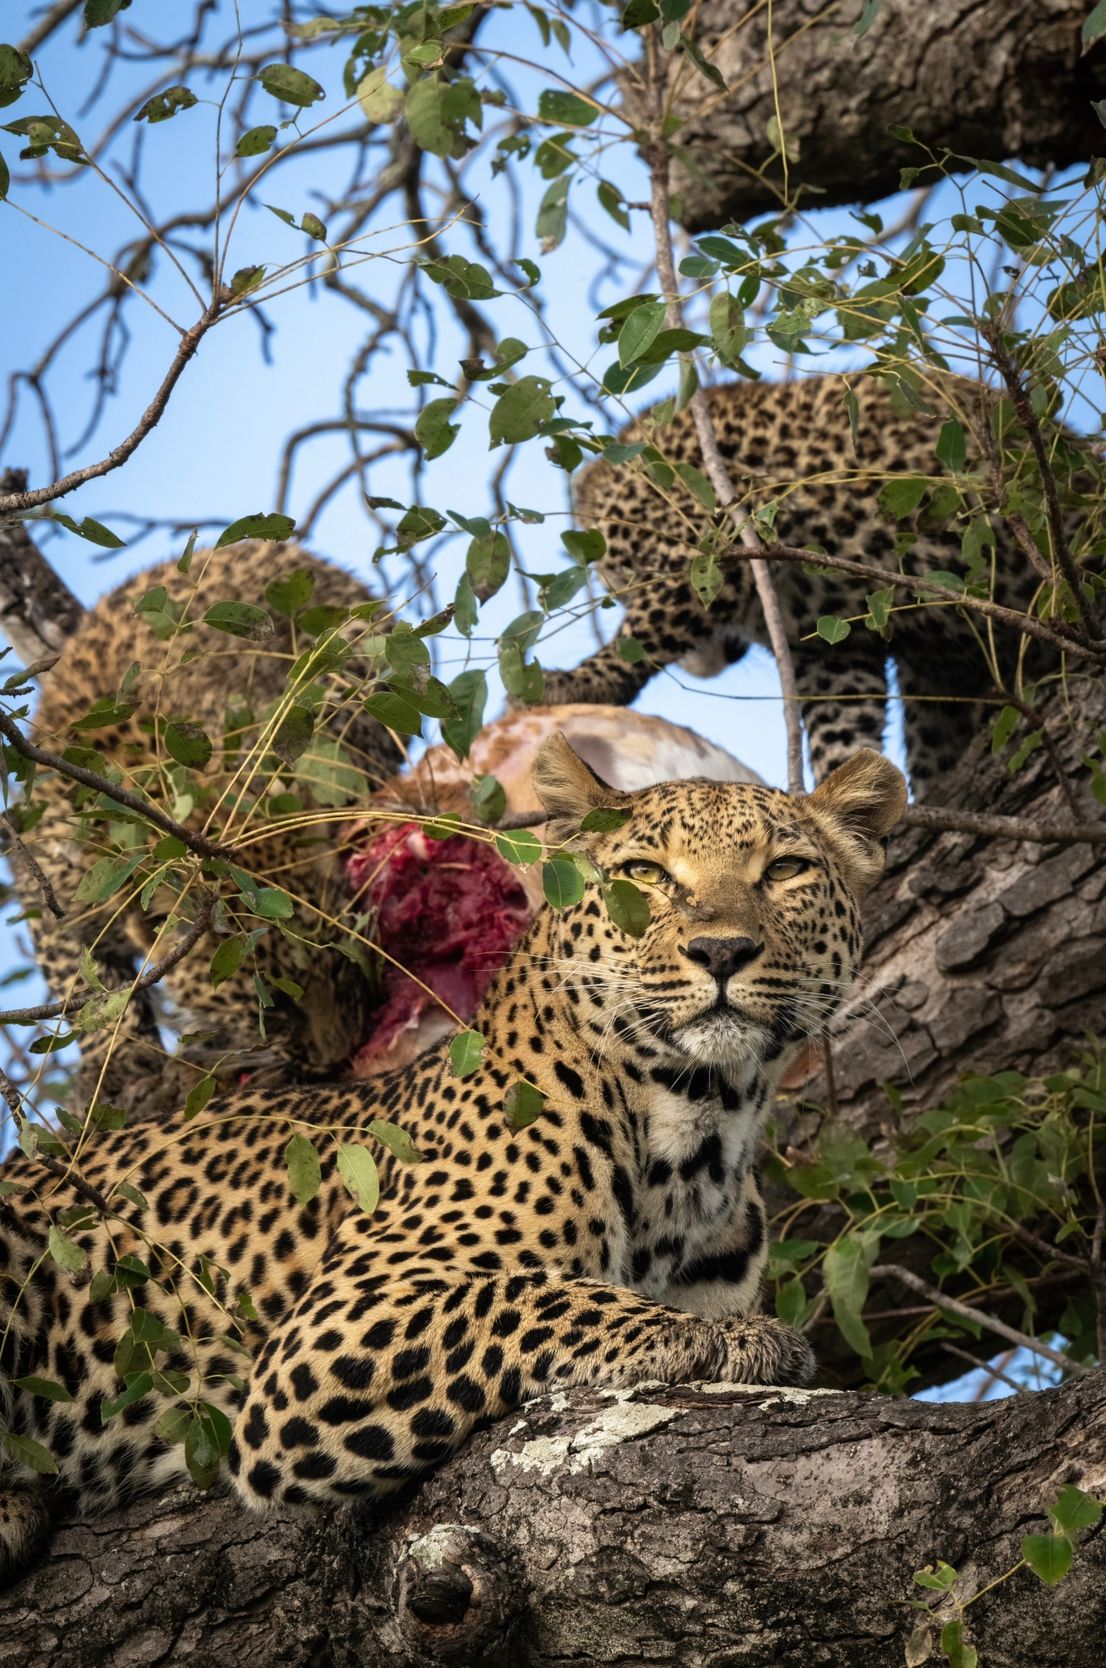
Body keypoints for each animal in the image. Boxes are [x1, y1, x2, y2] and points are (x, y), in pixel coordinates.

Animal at [0, 735, 906, 1582]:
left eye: (785, 870)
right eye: (645, 873)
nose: (721, 952)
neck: (697, 1136)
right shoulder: (326, 1337)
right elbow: (529, 1295)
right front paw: (730, 1339)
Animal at [11, 541, 402, 1111]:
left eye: (338, 967)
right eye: (274, 1005)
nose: (338, 1057)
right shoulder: (48, 887)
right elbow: (83, 982)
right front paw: (122, 1066)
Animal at [539, 371, 1081, 792]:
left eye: (613, 581)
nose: (731, 653)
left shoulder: (704, 546)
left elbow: (644, 632)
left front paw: (571, 683)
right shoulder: (831, 647)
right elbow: (840, 724)